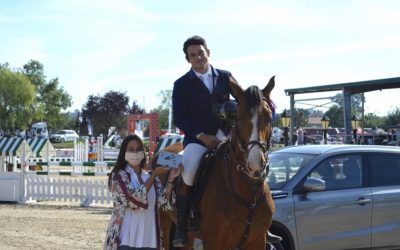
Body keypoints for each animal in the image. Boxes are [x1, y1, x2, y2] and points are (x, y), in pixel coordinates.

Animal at [153, 76, 276, 250]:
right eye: (238, 118)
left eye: (268, 116)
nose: (255, 164)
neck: (248, 193)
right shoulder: (214, 241)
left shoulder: (257, 241)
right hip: (164, 221)